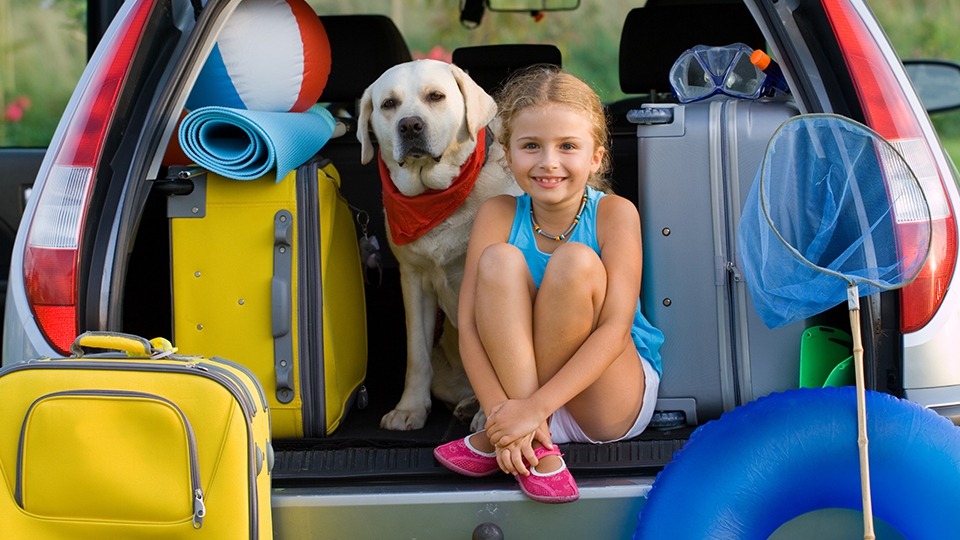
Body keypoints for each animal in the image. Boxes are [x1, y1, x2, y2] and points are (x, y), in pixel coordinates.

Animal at [358, 59, 516, 430]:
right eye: (388, 104)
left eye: (436, 96)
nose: (410, 125)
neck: (436, 197)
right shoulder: (413, 280)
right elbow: (416, 355)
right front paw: (410, 409)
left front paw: (490, 418)